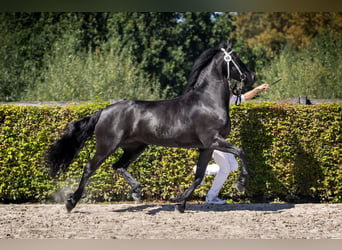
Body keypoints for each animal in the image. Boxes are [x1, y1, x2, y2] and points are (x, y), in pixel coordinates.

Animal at [44, 41, 254, 213]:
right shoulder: (214, 140)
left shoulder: (207, 147)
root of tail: (103, 112)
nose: (251, 76)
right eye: (236, 58)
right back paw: (71, 203)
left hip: (136, 147)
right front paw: (241, 184)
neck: (207, 102)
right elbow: (241, 151)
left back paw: (137, 191)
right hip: (106, 146)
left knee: (118, 166)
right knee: (89, 168)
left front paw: (180, 203)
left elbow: (199, 175)